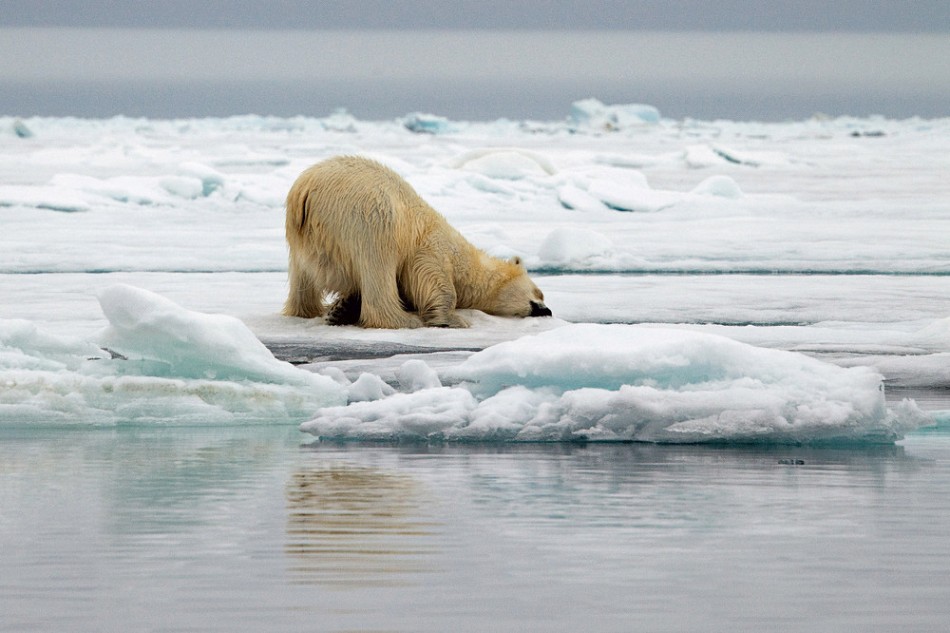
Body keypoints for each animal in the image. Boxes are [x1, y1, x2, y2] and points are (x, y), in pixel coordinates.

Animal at [282, 156, 552, 328]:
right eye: (538, 293)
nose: (547, 311)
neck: (465, 260)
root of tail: (304, 191)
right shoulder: (431, 248)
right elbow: (434, 280)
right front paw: (452, 319)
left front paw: (341, 310)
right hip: (367, 215)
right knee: (378, 265)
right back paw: (404, 320)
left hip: (301, 237)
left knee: (301, 278)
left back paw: (308, 310)